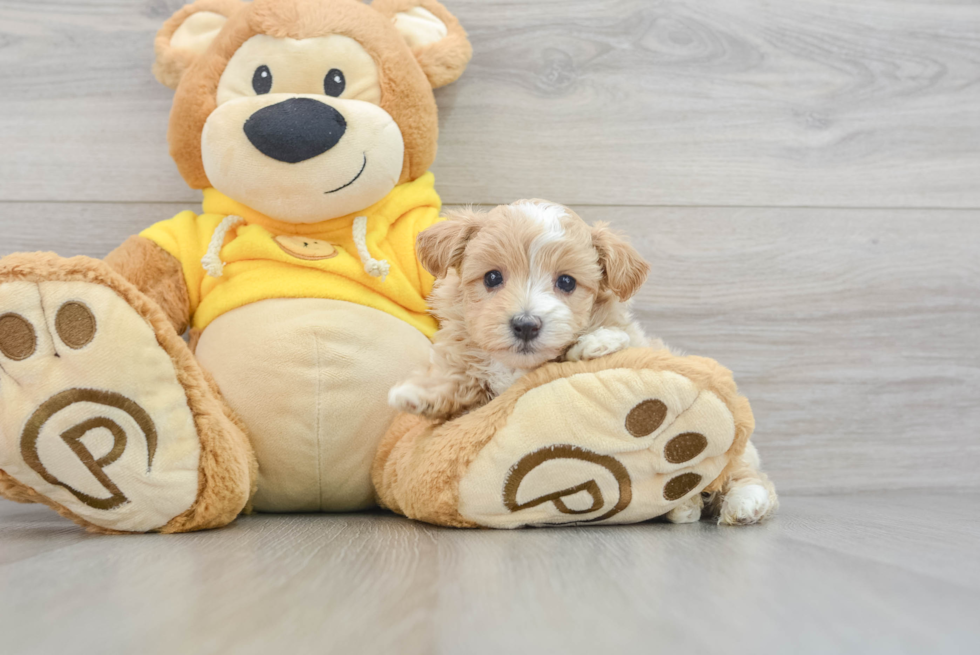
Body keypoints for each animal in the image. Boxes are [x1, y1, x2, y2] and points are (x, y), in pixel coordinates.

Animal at [386, 197, 656, 420]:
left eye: (567, 282)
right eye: (492, 277)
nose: (526, 326)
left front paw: (599, 341)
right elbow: (460, 381)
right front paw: (419, 393)